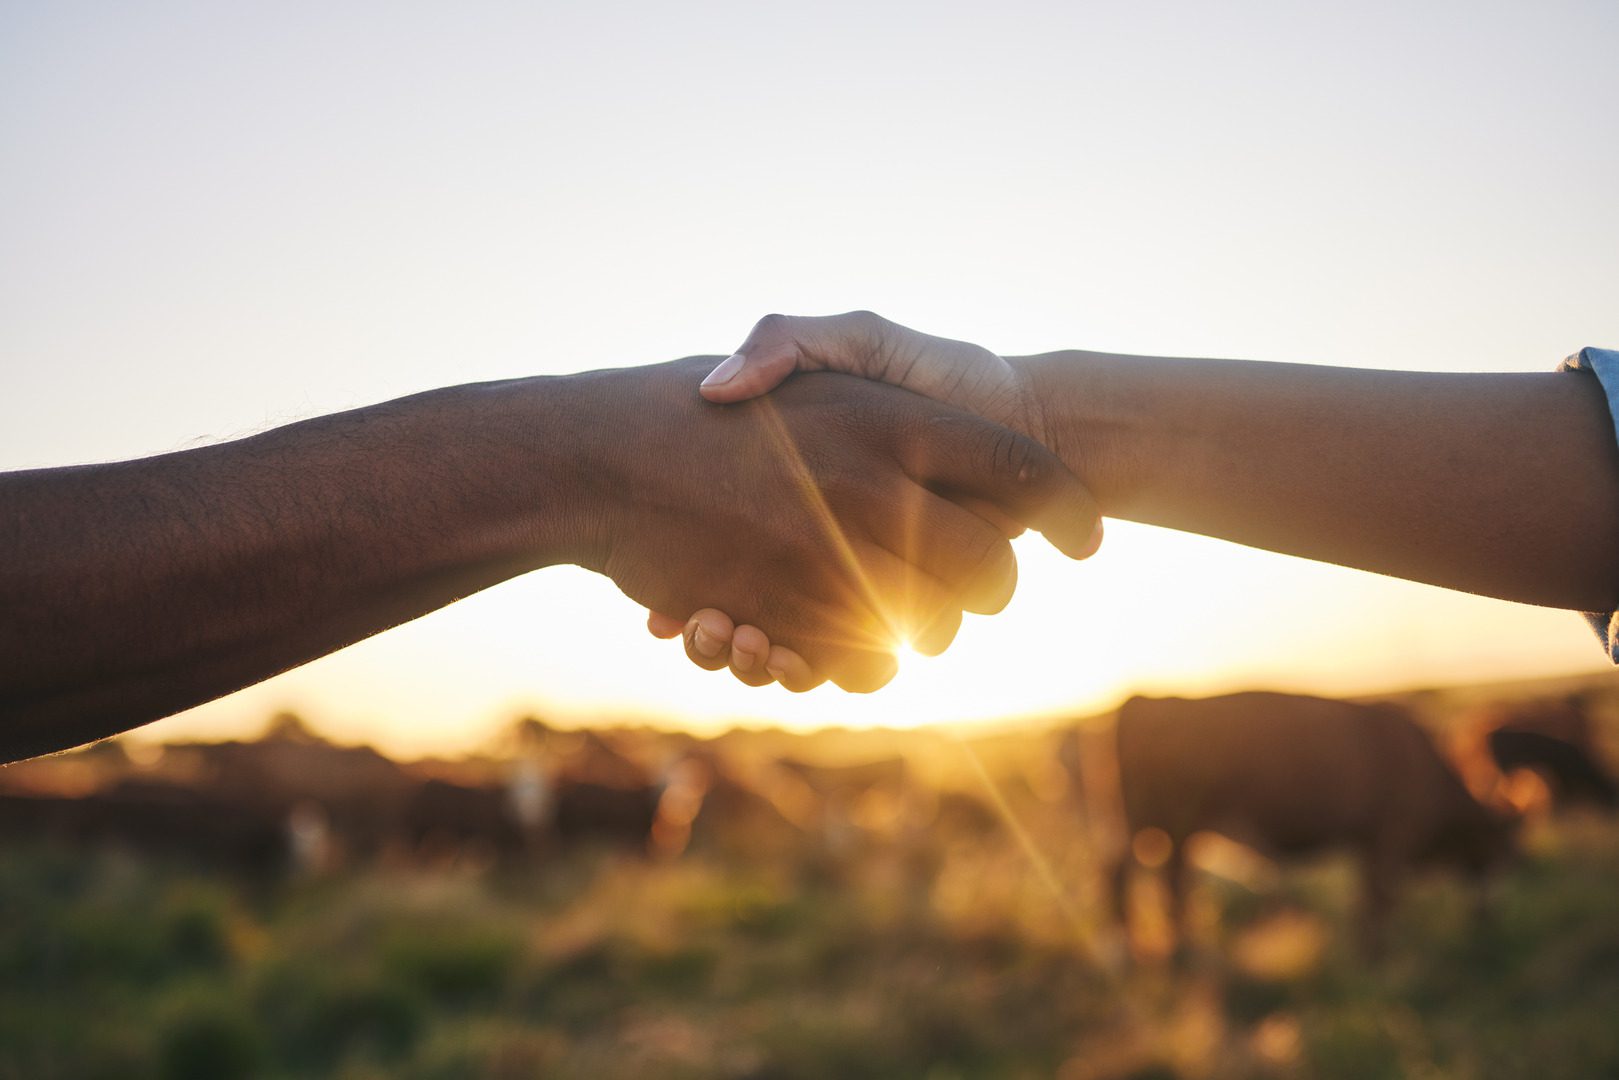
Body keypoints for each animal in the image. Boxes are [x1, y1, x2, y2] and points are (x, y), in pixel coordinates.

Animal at [1107, 693, 1508, 952]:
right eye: (1495, 852)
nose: (1487, 917)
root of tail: (1146, 699)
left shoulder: (1368, 845)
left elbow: (1366, 900)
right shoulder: (1391, 839)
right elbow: (1380, 901)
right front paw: (1376, 957)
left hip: (1175, 830)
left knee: (1170, 879)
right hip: (1156, 822)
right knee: (1134, 874)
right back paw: (1149, 948)